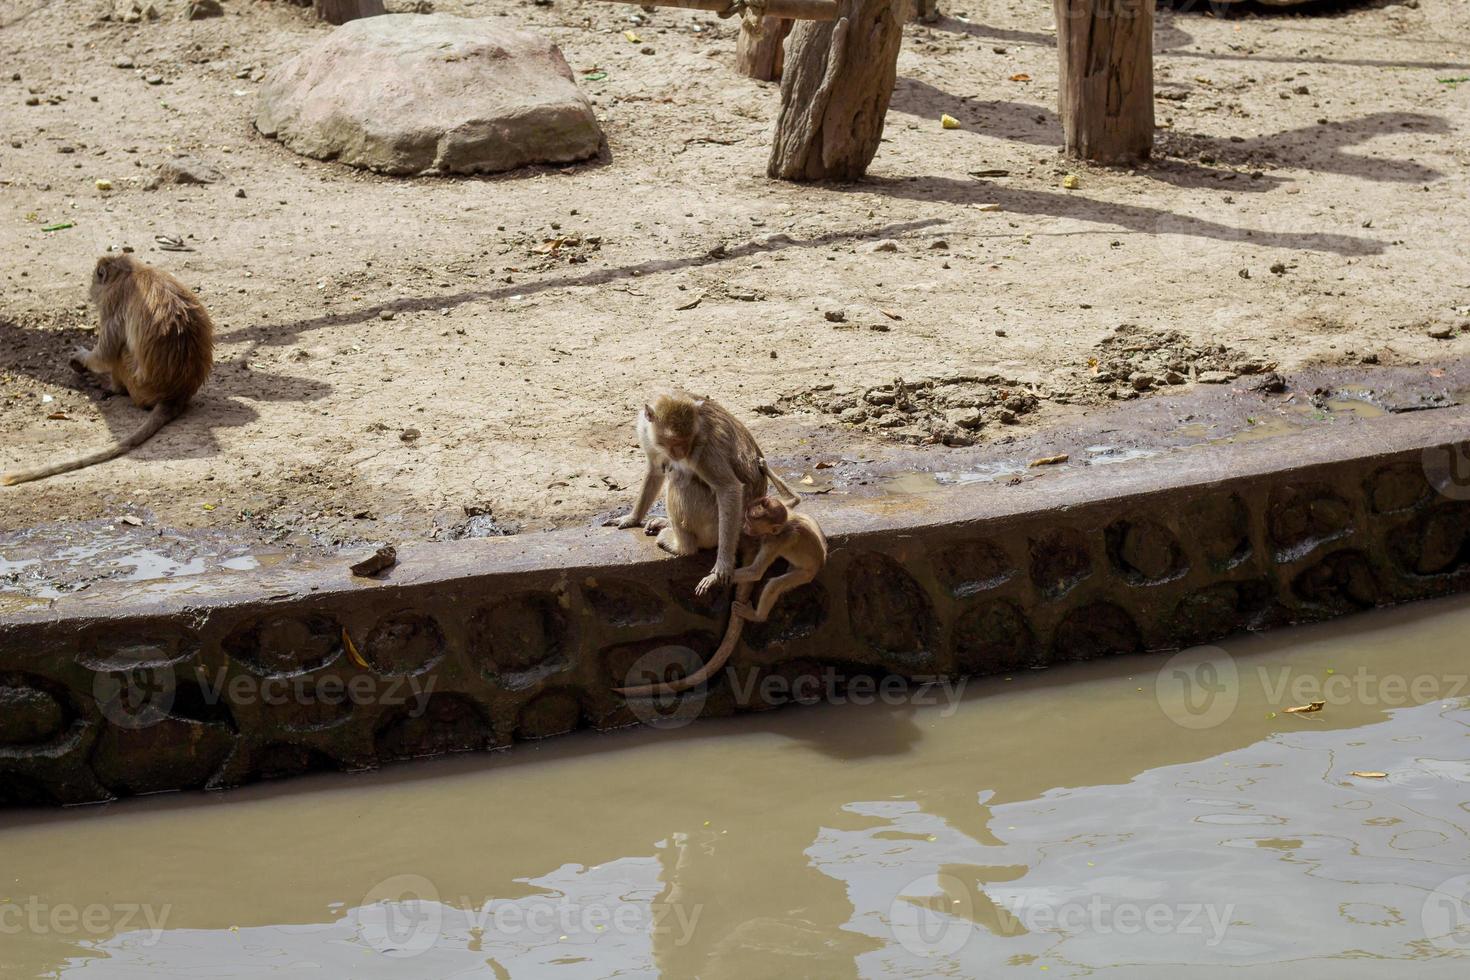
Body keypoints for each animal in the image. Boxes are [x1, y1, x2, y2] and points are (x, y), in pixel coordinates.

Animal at [0, 252, 213, 487]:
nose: (91, 289)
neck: (130, 271)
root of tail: (177, 394)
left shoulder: (113, 301)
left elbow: (105, 354)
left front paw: (82, 358)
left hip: (137, 383)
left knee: (120, 351)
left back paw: (112, 386)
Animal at [614, 499, 829, 696]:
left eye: (750, 522)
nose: (744, 527)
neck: (781, 529)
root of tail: (819, 563)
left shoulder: (774, 542)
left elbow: (756, 572)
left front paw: (712, 579)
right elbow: (802, 516)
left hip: (803, 574)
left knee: (774, 585)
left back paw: (756, 615)